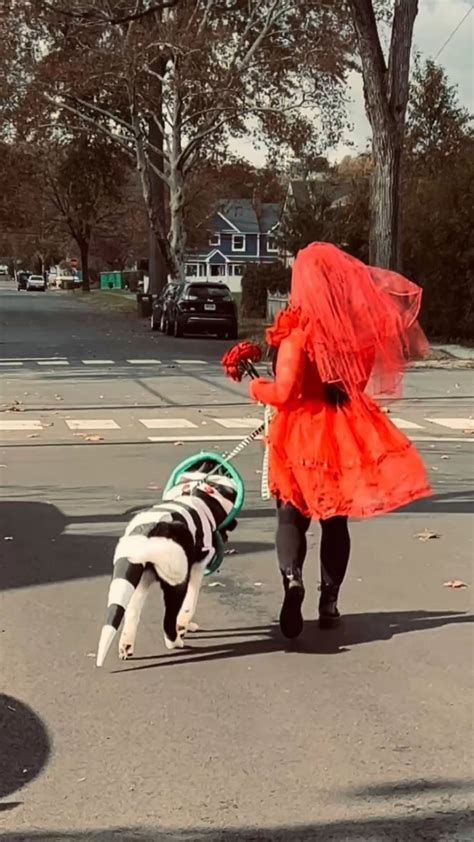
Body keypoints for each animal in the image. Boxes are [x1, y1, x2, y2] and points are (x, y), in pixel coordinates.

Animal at [96, 456, 239, 668]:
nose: (234, 524)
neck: (204, 491)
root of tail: (149, 531)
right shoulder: (196, 568)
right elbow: (189, 603)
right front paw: (185, 625)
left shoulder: (145, 581)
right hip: (176, 583)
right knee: (167, 620)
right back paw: (175, 642)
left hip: (130, 578)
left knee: (129, 614)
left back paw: (126, 646)